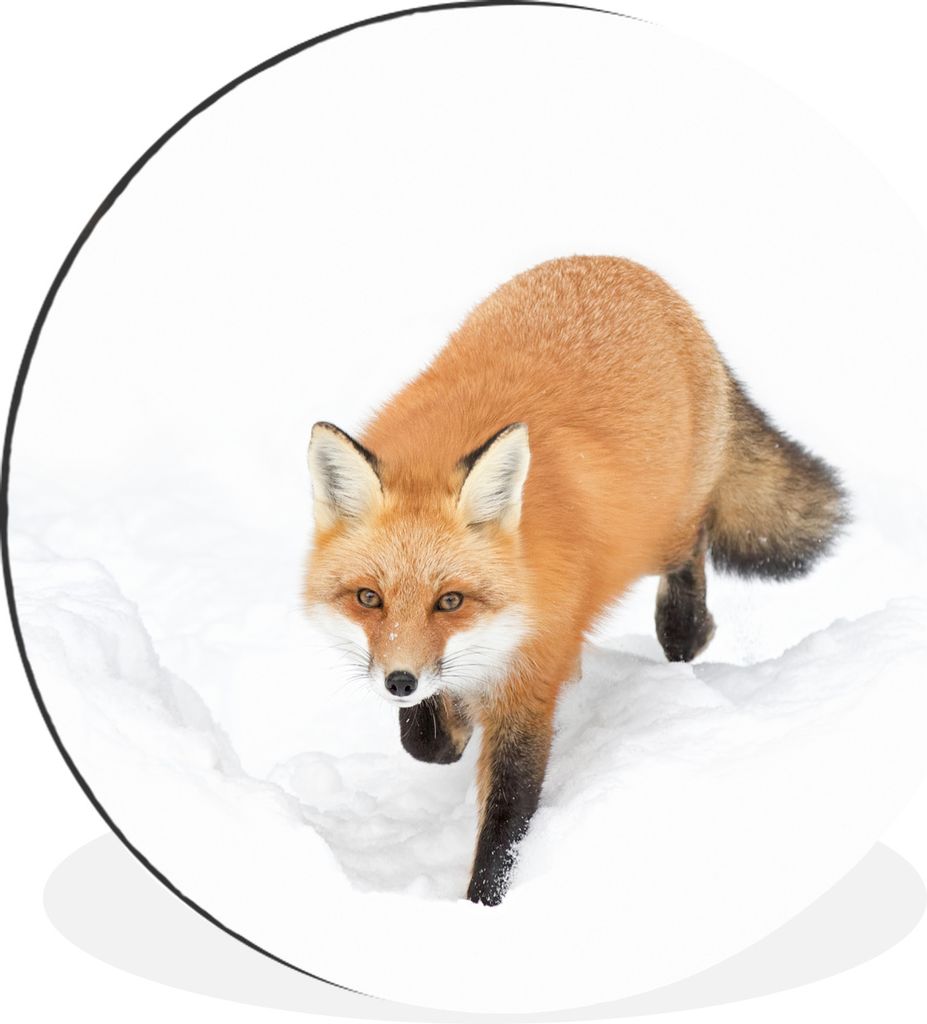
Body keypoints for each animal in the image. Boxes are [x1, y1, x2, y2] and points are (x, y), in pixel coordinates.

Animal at [303, 256, 848, 906]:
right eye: (369, 598)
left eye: (450, 601)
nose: (399, 682)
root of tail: (623, 267)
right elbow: (428, 741)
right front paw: (449, 724)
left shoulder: (533, 682)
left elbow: (507, 819)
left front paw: (483, 909)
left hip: (659, 530)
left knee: (694, 547)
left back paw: (689, 629)